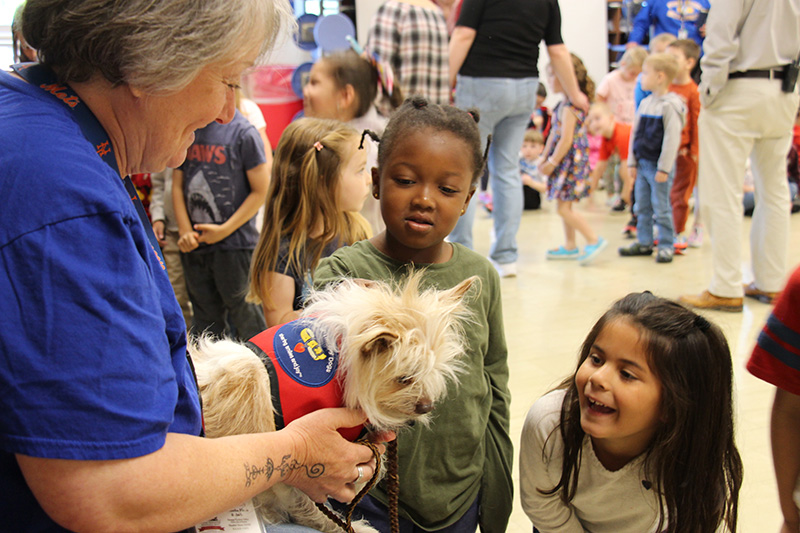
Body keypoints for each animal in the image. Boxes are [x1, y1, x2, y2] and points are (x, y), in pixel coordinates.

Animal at [191, 272, 476, 528]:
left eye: (433, 371)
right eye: (404, 378)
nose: (426, 406)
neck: (340, 362)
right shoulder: (290, 469)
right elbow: (310, 504)